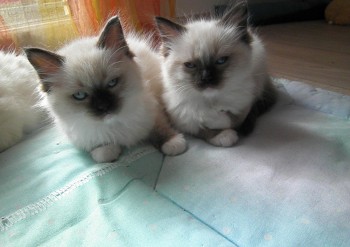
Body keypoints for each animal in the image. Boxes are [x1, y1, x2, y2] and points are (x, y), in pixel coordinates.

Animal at [25, 15, 186, 162]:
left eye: (112, 83)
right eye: (80, 95)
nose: (104, 107)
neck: (114, 124)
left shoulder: (153, 111)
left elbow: (159, 127)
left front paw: (172, 143)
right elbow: (103, 154)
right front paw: (109, 151)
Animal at [155, 0, 276, 147]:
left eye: (221, 61)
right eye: (190, 65)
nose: (206, 78)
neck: (211, 102)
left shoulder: (245, 104)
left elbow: (232, 119)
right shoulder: (180, 120)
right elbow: (200, 127)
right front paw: (222, 135)